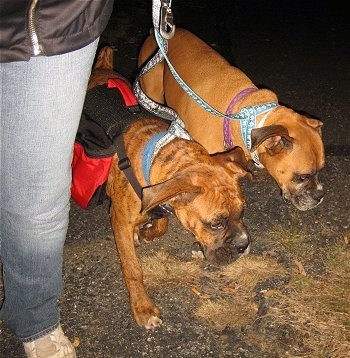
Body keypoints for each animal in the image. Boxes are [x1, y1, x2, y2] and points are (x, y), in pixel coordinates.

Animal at [87, 48, 252, 330]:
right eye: (216, 224)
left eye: (242, 213)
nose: (244, 245)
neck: (155, 155)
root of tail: (101, 67)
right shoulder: (120, 220)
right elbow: (133, 269)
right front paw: (143, 309)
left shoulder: (161, 198)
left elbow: (162, 222)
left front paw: (148, 231)